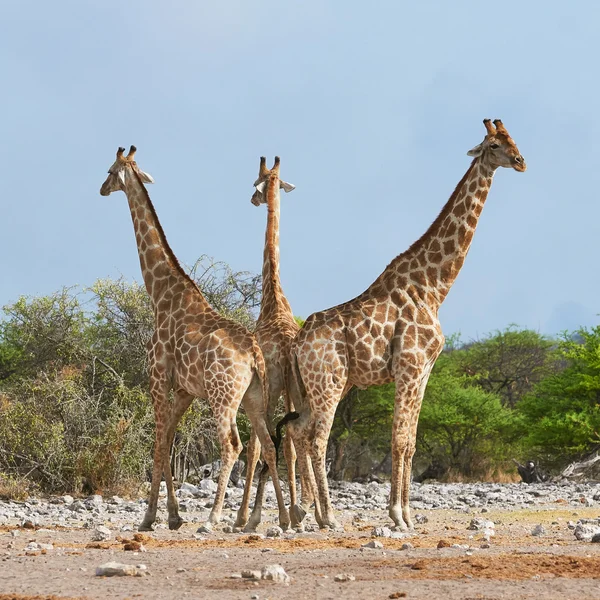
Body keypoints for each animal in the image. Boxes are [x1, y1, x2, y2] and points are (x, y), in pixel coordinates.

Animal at [99, 148, 290, 532]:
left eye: (110, 171)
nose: (101, 188)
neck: (160, 294)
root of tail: (254, 355)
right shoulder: (185, 389)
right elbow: (168, 440)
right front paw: (173, 515)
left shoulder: (157, 377)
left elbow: (159, 441)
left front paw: (150, 517)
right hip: (254, 396)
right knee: (268, 443)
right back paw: (282, 517)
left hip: (223, 395)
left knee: (233, 445)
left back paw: (214, 518)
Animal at [286, 118, 524, 528]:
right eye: (494, 145)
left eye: (513, 140)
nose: (522, 161)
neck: (433, 287)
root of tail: (299, 343)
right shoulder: (410, 367)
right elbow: (399, 439)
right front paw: (397, 514)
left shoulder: (425, 370)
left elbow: (410, 441)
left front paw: (408, 514)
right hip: (329, 382)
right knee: (316, 437)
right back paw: (328, 516)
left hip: (326, 385)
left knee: (298, 430)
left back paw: (307, 511)